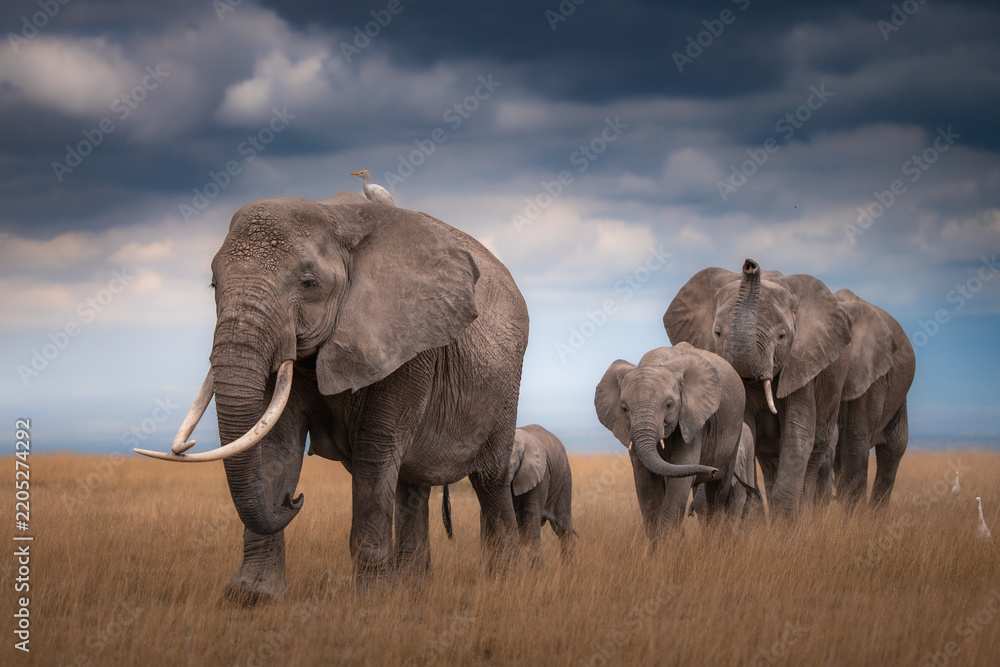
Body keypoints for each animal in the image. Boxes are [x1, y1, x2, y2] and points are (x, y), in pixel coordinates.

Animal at [135, 191, 529, 602]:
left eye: (308, 282)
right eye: (214, 284)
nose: (294, 500)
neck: (336, 216)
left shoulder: (409, 342)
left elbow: (376, 447)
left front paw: (374, 600)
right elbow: (277, 444)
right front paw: (251, 597)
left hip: (506, 386)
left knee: (489, 479)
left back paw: (503, 581)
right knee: (411, 484)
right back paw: (414, 587)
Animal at [595, 344, 740, 544]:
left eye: (669, 405)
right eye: (624, 409)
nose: (711, 470)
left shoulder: (692, 420)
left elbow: (681, 473)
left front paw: (666, 548)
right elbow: (645, 481)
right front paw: (658, 548)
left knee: (718, 491)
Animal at [664, 259, 852, 515]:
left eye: (782, 336)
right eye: (717, 333)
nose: (750, 265)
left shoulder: (802, 366)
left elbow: (798, 433)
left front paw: (785, 519)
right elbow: (744, 431)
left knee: (815, 451)